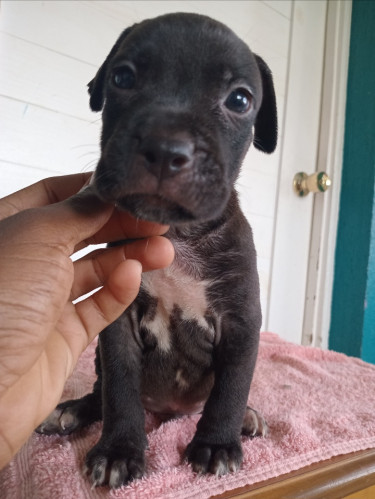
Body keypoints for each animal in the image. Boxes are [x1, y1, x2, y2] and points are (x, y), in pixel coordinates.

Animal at [36, 10, 278, 488]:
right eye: (123, 77)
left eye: (240, 100)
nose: (166, 148)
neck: (177, 234)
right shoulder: (119, 323)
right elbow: (120, 390)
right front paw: (118, 450)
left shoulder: (241, 323)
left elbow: (231, 388)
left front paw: (218, 443)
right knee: (100, 391)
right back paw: (72, 411)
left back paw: (247, 418)